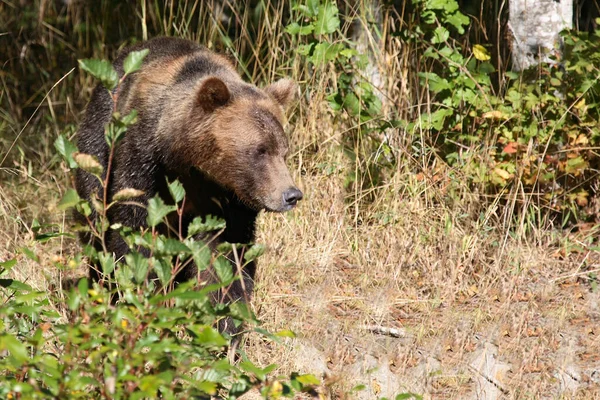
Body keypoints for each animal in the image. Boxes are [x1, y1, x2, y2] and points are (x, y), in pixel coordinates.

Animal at [75, 36, 302, 324]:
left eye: (284, 151)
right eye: (260, 151)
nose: (291, 195)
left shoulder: (227, 200)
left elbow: (226, 255)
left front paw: (225, 317)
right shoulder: (143, 159)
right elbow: (133, 227)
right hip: (100, 135)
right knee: (95, 213)